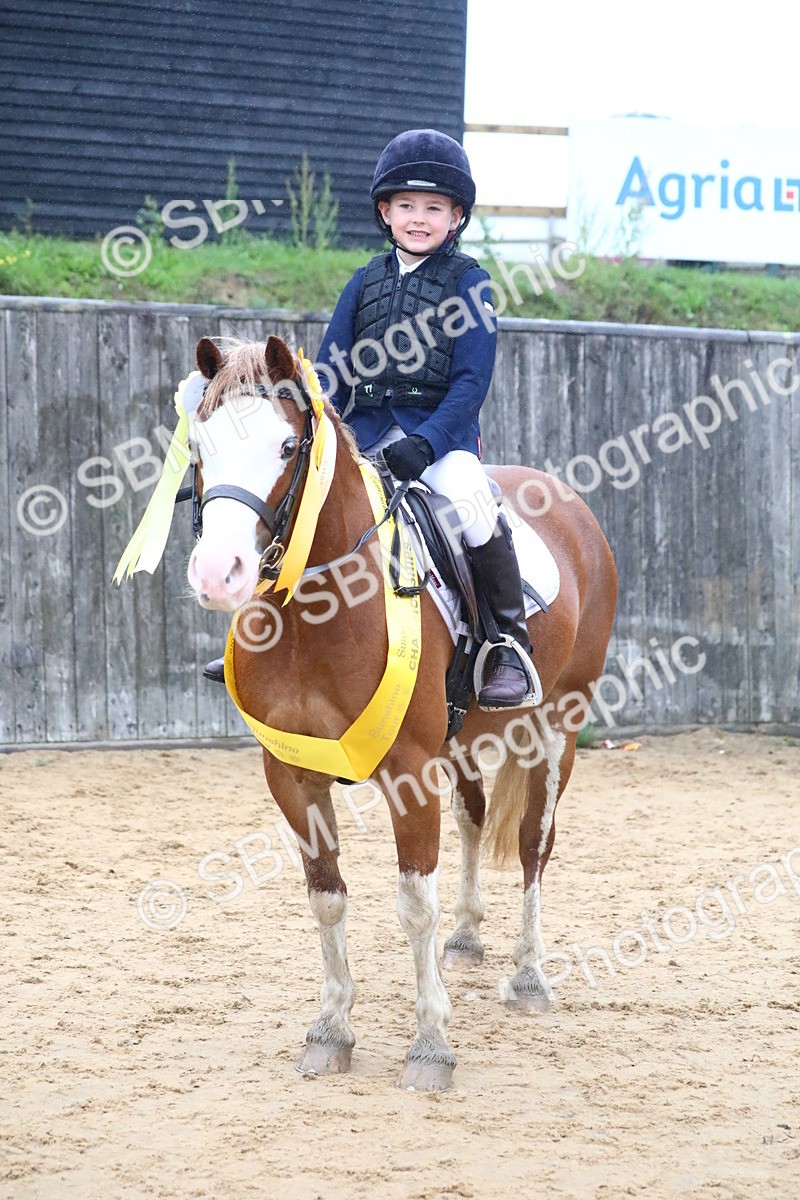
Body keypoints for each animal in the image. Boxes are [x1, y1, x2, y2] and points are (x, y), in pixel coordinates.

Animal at [185, 333, 617, 1091]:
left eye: (285, 446)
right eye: (200, 444)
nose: (217, 574)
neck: (314, 617)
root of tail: (567, 501)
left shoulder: (409, 772)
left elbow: (415, 904)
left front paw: (431, 1047)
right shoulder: (291, 775)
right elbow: (326, 896)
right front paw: (330, 1031)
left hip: (558, 727)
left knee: (534, 843)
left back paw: (529, 976)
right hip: (462, 740)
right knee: (475, 816)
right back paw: (469, 937)